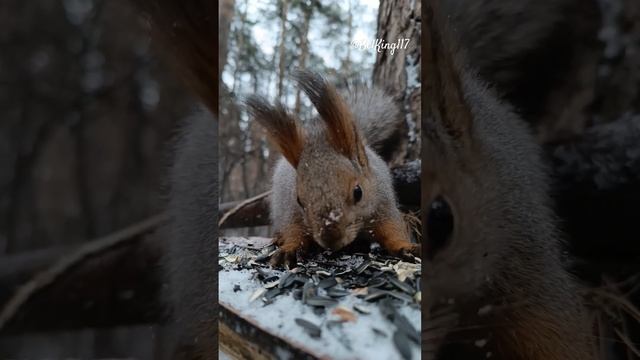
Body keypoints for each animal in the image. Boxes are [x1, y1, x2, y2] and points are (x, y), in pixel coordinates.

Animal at [245, 71, 420, 266]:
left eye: (358, 192)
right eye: (299, 200)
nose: (330, 239)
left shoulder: (383, 204)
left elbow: (392, 230)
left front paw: (406, 246)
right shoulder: (291, 211)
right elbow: (294, 230)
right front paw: (289, 248)